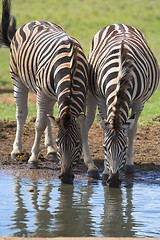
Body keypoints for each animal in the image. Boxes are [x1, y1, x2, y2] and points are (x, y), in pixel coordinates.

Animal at [1, 0, 98, 184]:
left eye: (77, 143)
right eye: (60, 143)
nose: (66, 178)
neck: (71, 65)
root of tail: (34, 21)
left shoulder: (82, 94)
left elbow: (82, 127)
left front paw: (90, 165)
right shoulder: (41, 93)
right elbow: (38, 124)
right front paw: (33, 159)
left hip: (51, 94)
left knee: (48, 116)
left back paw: (50, 150)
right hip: (17, 78)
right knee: (22, 114)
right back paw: (16, 150)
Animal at [82, 23, 159, 188]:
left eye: (124, 148)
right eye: (104, 148)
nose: (113, 181)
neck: (120, 76)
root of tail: (120, 24)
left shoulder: (140, 102)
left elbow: (132, 131)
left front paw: (129, 165)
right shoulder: (101, 98)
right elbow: (105, 131)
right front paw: (105, 172)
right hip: (90, 93)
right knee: (85, 125)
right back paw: (91, 167)